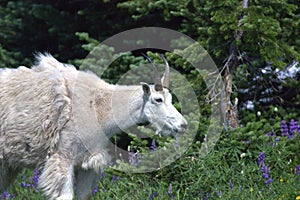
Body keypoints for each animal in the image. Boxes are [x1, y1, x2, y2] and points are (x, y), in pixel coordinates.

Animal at [0, 53, 188, 200]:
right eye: (158, 99)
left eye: (171, 98)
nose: (183, 125)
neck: (98, 108)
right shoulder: (62, 159)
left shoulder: (87, 165)